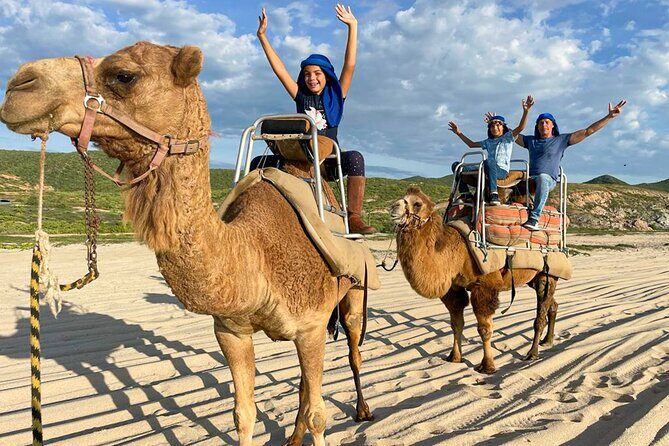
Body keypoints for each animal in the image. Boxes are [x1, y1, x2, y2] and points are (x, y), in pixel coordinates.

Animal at [0, 41, 373, 445]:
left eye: (124, 75)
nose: (19, 85)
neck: (253, 251)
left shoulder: (311, 326)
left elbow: (319, 414)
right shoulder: (231, 330)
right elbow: (244, 414)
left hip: (353, 293)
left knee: (353, 348)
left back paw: (362, 410)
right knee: (306, 384)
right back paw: (292, 437)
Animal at [389, 186, 558, 374]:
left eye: (417, 203)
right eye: (403, 197)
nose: (393, 207)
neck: (457, 252)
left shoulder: (484, 287)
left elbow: (484, 329)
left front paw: (487, 366)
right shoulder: (454, 288)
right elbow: (456, 324)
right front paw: (454, 357)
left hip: (547, 273)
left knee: (541, 312)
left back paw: (532, 353)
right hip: (534, 278)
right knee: (552, 304)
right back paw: (547, 341)